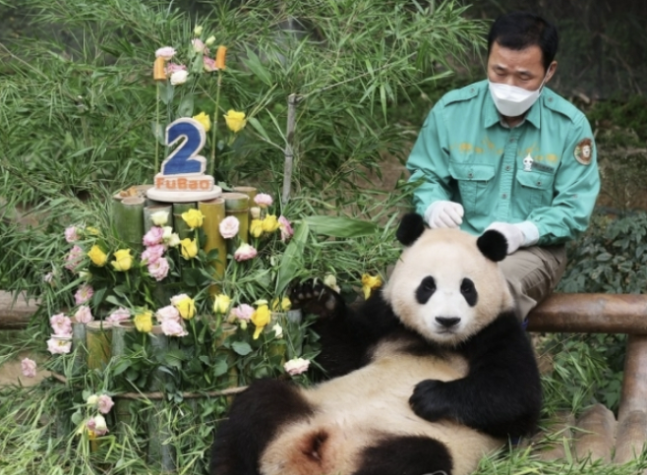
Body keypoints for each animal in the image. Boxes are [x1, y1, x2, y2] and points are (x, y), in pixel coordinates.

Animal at [211, 213, 540, 475]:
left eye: (467, 288)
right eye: (428, 285)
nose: (447, 320)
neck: (438, 342)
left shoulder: (498, 330)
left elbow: (514, 398)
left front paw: (428, 395)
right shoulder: (384, 318)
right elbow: (339, 358)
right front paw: (316, 298)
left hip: (416, 443)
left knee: (416, 458)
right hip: (305, 406)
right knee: (256, 408)